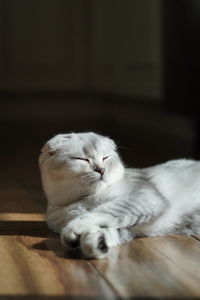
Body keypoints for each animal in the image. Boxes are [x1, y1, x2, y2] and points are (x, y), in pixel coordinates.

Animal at [38, 132, 200, 258]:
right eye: (82, 159)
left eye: (105, 158)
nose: (101, 170)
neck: (82, 200)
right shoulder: (128, 227)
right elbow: (107, 230)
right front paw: (96, 243)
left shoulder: (143, 199)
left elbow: (99, 213)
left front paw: (74, 231)